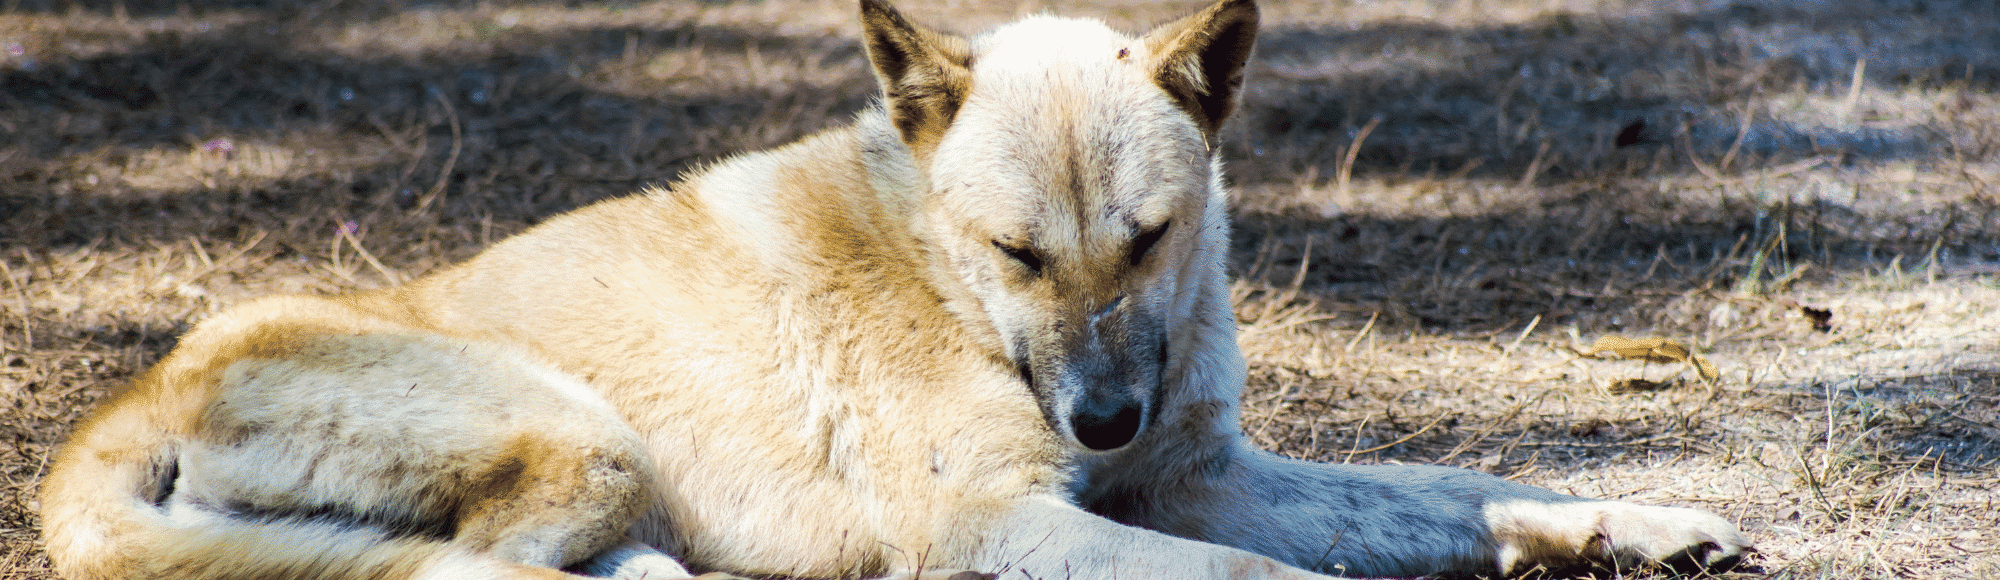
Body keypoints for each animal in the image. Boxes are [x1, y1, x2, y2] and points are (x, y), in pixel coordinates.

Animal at [35, 0, 1752, 576]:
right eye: (1017, 254)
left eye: (1149, 239)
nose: (1105, 422)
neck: (947, 286)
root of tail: (129, 396)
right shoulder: (1011, 523)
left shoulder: (1200, 478)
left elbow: (1461, 487)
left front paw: (1638, 523)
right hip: (584, 438)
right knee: (466, 572)